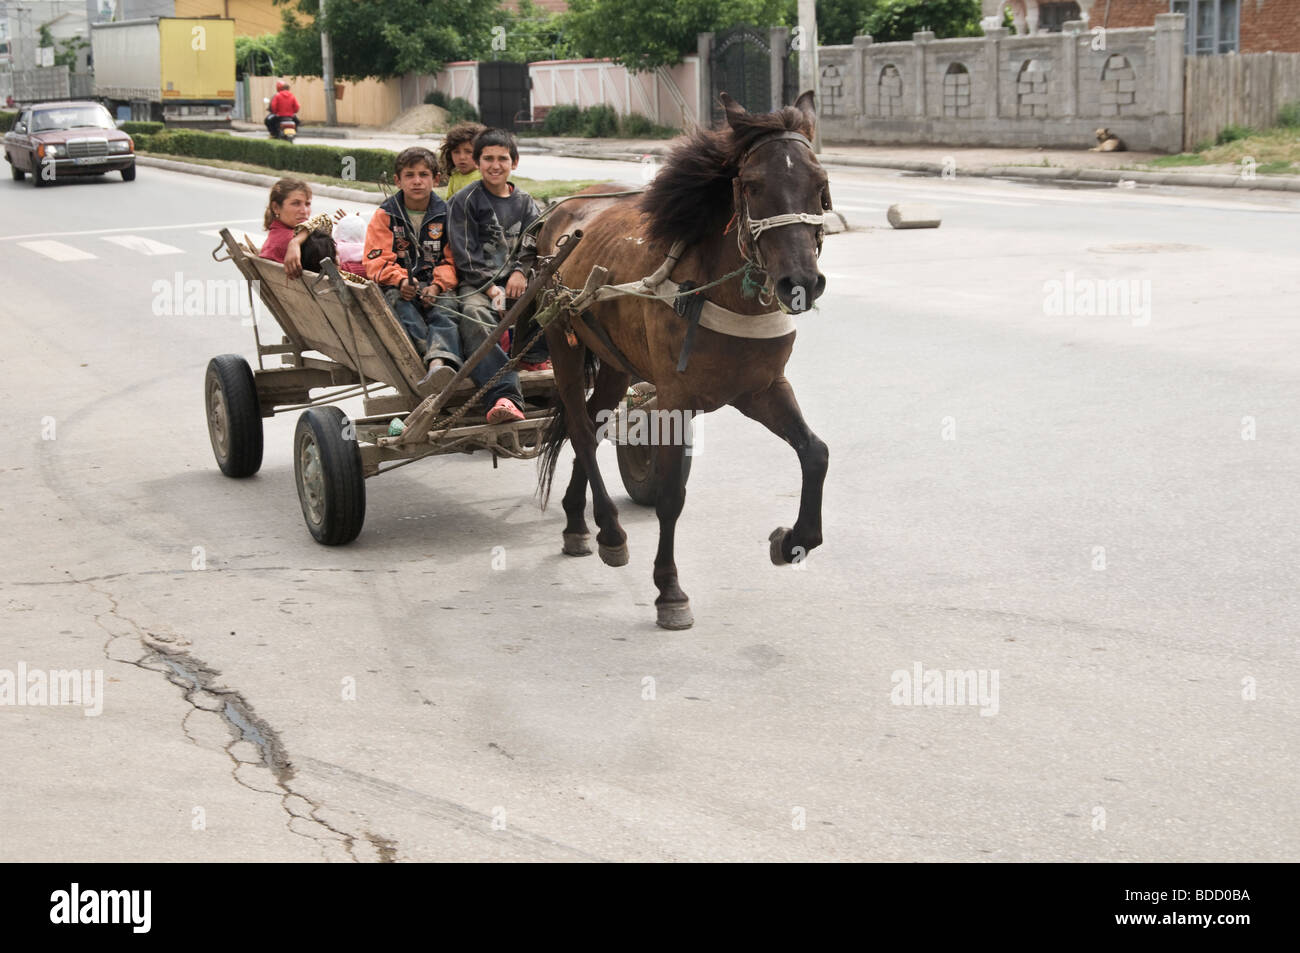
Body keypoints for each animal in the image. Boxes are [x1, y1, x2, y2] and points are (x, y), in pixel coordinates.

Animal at [535, 91, 831, 630]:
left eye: (820, 186)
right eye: (752, 186)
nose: (800, 282)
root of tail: (562, 211)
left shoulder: (762, 389)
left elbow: (815, 453)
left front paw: (793, 541)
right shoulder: (675, 399)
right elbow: (671, 497)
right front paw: (669, 590)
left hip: (615, 363)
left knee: (592, 420)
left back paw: (577, 522)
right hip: (561, 339)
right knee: (582, 431)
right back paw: (609, 530)